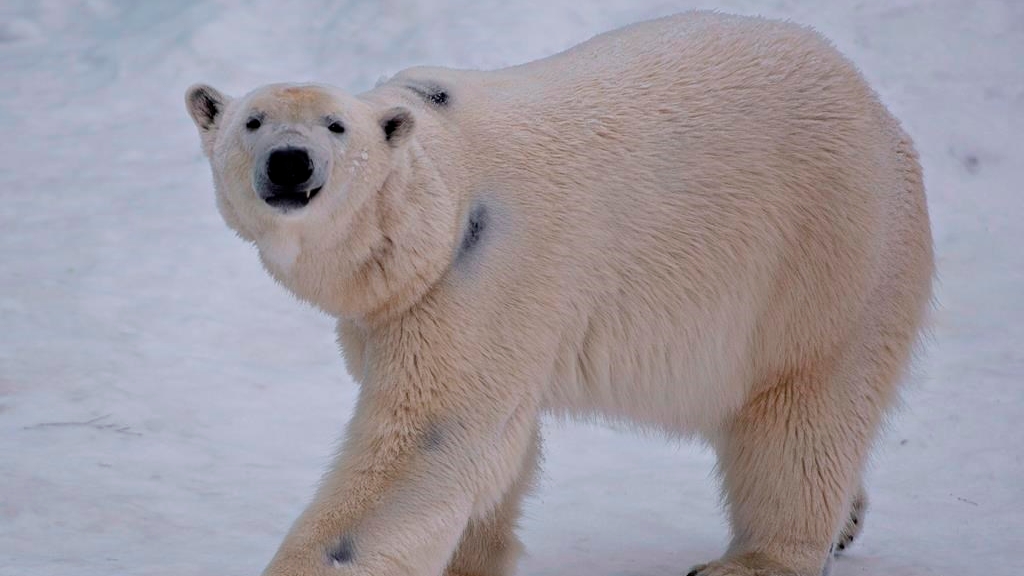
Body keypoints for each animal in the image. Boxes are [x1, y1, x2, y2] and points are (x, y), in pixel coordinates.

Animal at [184, 11, 937, 573]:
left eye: (336, 126)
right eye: (251, 122)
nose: (290, 162)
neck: (439, 207)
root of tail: (882, 117)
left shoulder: (478, 273)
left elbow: (426, 438)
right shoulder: (393, 311)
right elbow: (493, 451)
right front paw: (476, 557)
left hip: (824, 257)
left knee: (800, 417)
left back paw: (755, 561)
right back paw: (848, 518)